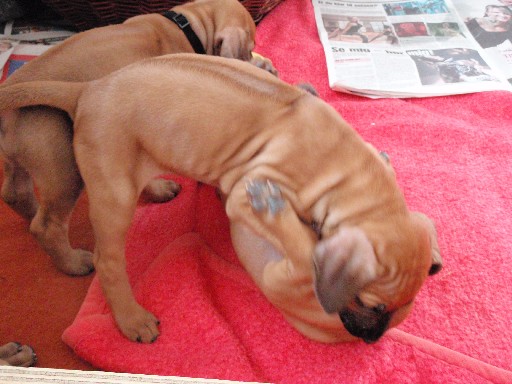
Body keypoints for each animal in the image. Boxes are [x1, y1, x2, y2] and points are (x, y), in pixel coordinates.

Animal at [0, 0, 256, 276]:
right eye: (251, 47)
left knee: (14, 194)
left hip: (22, 161)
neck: (188, 24)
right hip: (63, 167)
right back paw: (74, 263)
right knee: (46, 226)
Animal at [0, 53, 440, 342]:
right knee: (97, 254)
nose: (372, 339)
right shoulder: (247, 196)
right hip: (112, 195)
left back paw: (159, 188)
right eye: (370, 304)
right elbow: (301, 244)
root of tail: (87, 89)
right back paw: (128, 317)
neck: (351, 175)